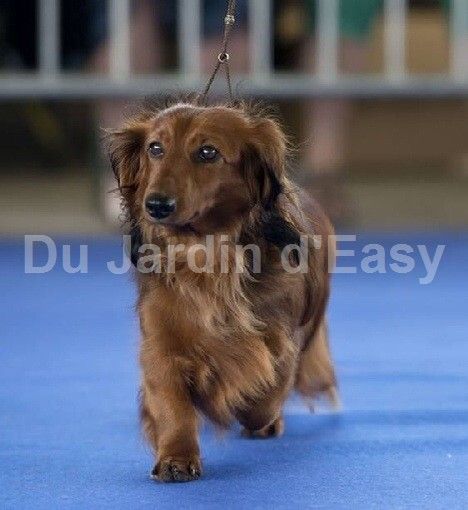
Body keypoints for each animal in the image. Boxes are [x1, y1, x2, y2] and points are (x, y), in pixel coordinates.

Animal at [108, 100, 338, 482]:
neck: (206, 258)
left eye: (207, 152)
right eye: (155, 148)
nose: (156, 205)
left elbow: (265, 393)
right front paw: (176, 457)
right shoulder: (161, 347)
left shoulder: (281, 342)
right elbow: (172, 406)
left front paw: (249, 410)